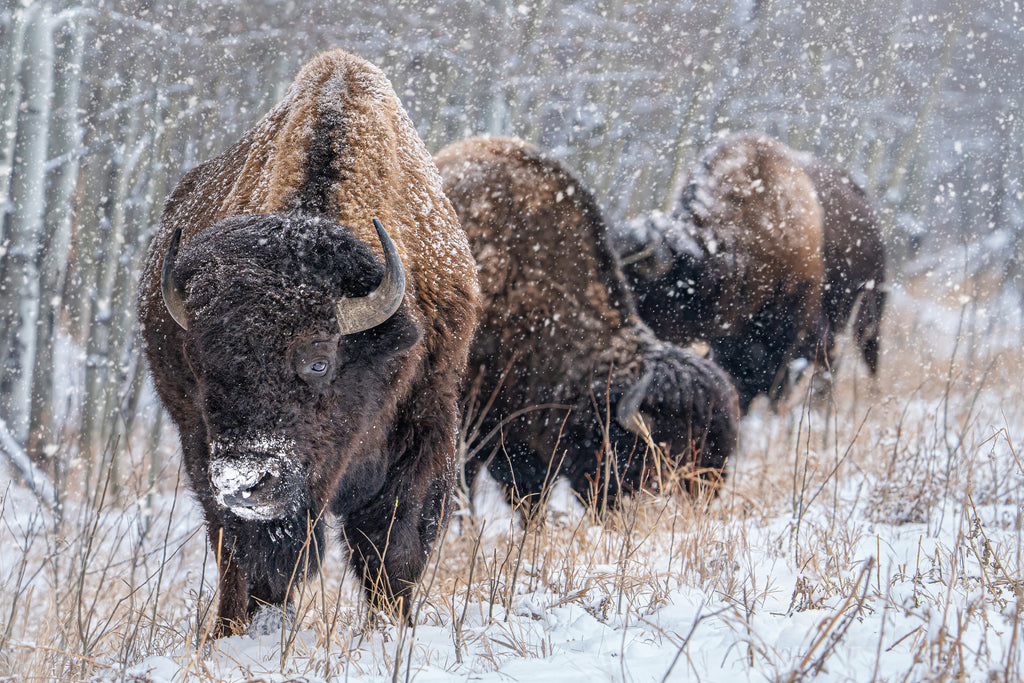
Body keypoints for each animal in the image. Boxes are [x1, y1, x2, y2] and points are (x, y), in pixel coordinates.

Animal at [137, 50, 479, 635]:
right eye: (201, 365)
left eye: (318, 362)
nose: (245, 482)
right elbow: (255, 559)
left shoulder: (427, 430)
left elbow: (394, 549)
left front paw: (394, 630)